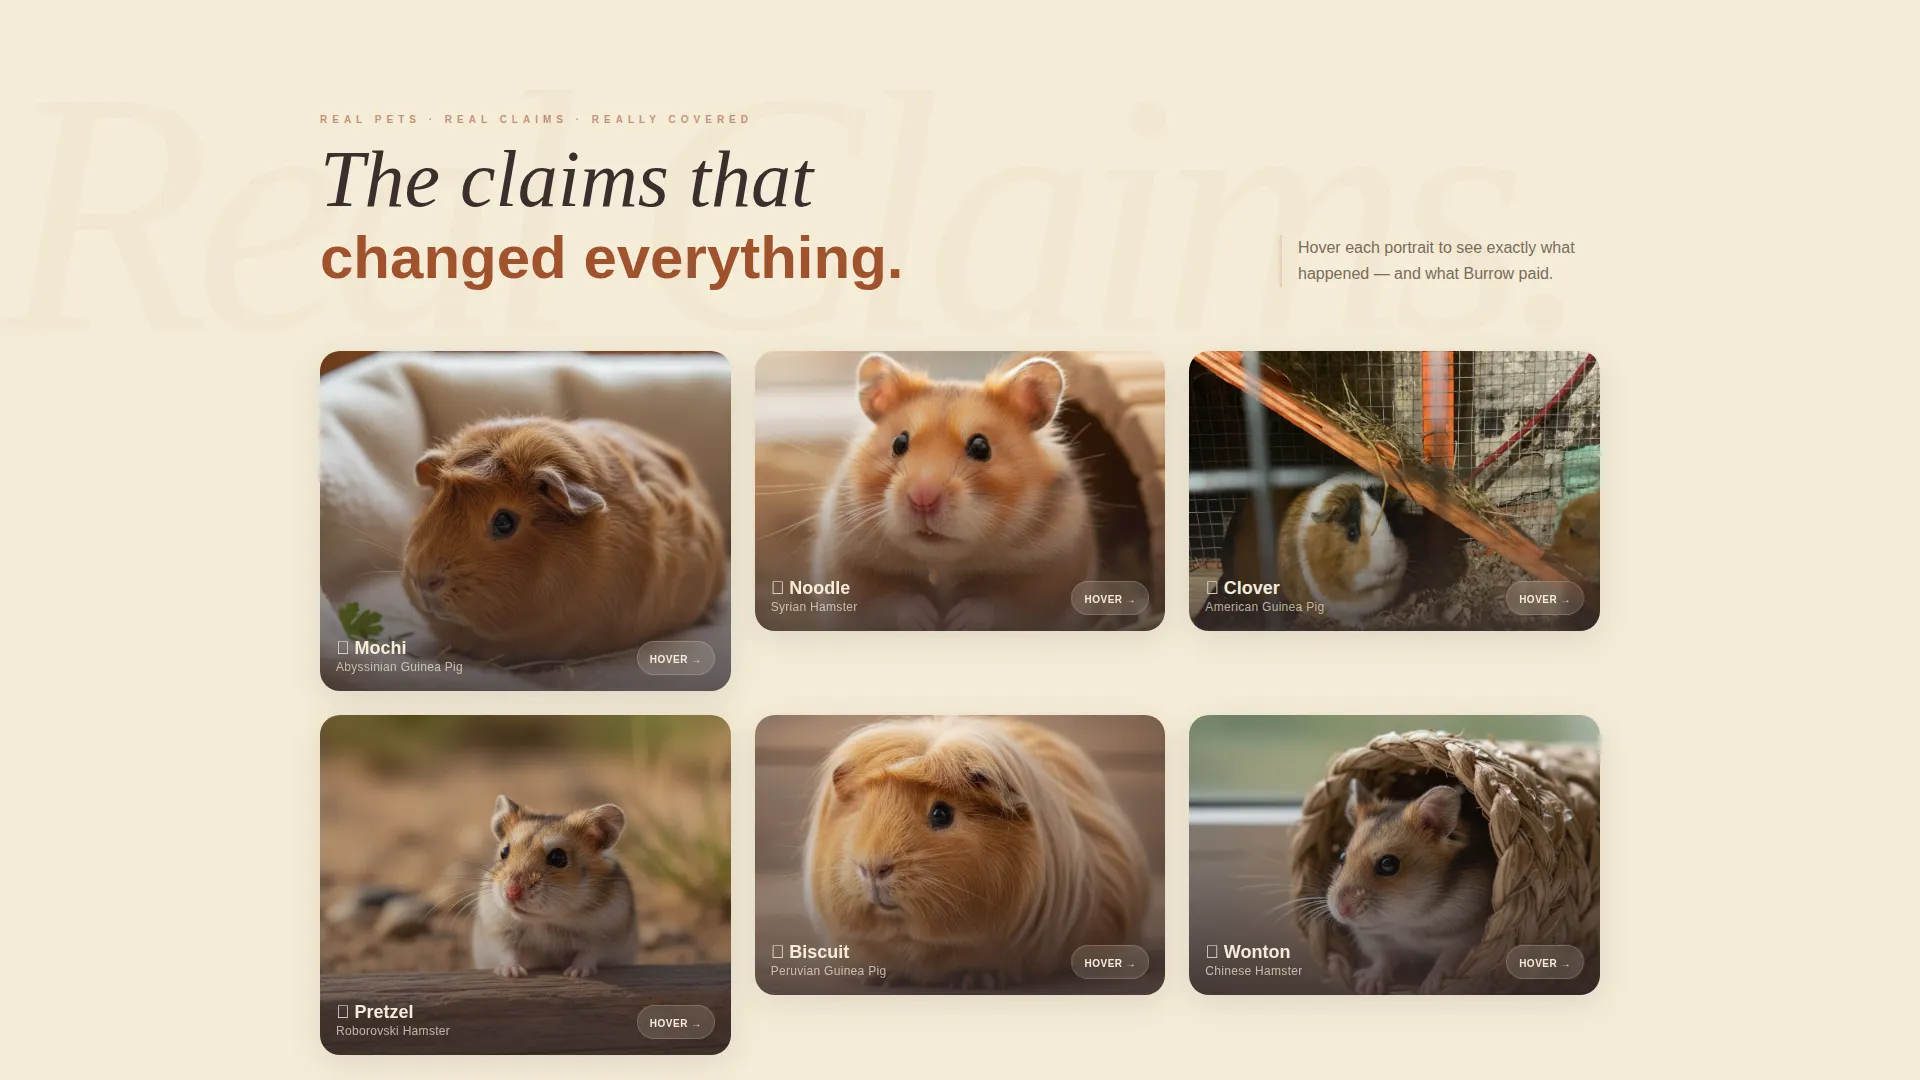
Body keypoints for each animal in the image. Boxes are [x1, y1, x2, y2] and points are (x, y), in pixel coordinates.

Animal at [472, 795, 639, 978]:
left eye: (558, 858)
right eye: (504, 852)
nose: (511, 892)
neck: (542, 920)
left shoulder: (606, 937)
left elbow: (588, 954)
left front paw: (575, 973)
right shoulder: (497, 934)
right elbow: (508, 952)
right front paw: (511, 973)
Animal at [811, 353, 1098, 630]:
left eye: (981, 447)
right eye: (898, 443)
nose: (922, 499)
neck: (942, 559)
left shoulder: (1049, 570)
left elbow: (998, 602)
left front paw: (957, 621)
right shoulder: (850, 563)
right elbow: (891, 598)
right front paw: (925, 621)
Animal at [1326, 782, 1495, 994]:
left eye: (1388, 864)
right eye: (1342, 858)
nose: (1341, 910)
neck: (1407, 920)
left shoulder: (1467, 935)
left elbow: (1447, 959)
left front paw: (1429, 988)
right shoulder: (1373, 939)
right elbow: (1383, 958)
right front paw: (1365, 985)